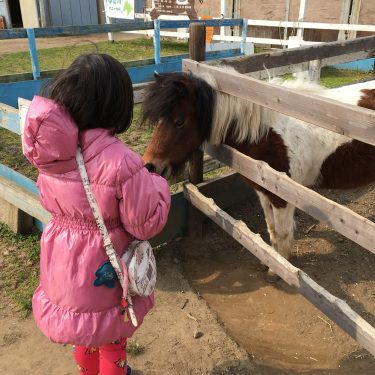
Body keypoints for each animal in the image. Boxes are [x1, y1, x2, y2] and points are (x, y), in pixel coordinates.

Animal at [142, 70, 375, 282]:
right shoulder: (263, 191)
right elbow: (271, 228)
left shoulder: (282, 197)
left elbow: (282, 232)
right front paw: (270, 260)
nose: (150, 165)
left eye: (179, 121)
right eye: (158, 120)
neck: (264, 132)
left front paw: (277, 270)